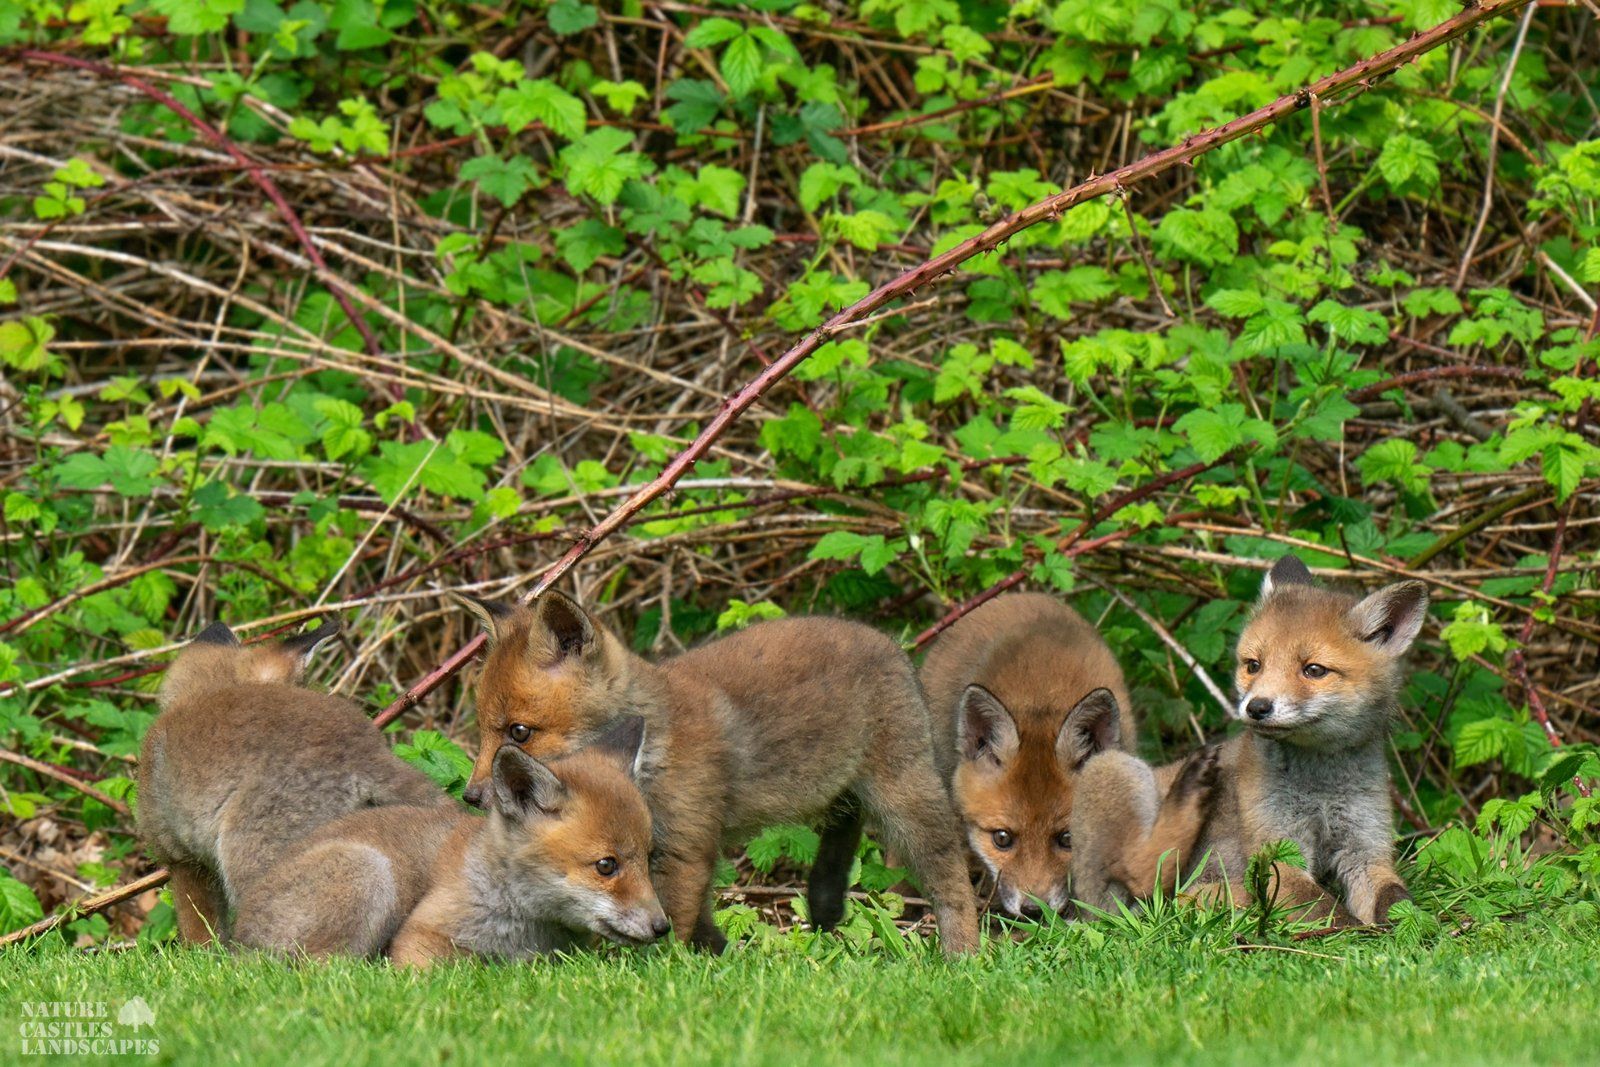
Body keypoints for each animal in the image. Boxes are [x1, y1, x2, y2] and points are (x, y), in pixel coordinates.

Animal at [137, 618, 445, 944]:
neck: (201, 691)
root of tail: (364, 751)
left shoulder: (180, 859)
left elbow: (199, 930)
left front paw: (202, 952)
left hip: (252, 858)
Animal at [229, 717, 667, 965]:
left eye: (649, 858)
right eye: (606, 866)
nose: (663, 927)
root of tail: (237, 941)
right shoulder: (420, 937)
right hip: (370, 873)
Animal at [454, 593, 980, 956]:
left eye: (520, 732)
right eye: (481, 730)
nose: (473, 796)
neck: (654, 747)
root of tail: (893, 645)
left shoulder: (685, 849)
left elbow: (671, 922)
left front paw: (660, 974)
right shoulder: (681, 850)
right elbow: (697, 920)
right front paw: (721, 961)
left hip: (904, 799)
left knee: (952, 874)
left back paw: (962, 955)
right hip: (838, 793)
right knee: (842, 838)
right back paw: (826, 910)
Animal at [1071, 555, 1427, 925]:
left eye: (1314, 670)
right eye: (1254, 665)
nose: (1257, 707)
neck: (1322, 789)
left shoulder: (1366, 849)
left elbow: (1398, 902)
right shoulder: (1278, 853)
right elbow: (1335, 917)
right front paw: (1361, 930)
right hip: (1113, 769)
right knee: (1142, 880)